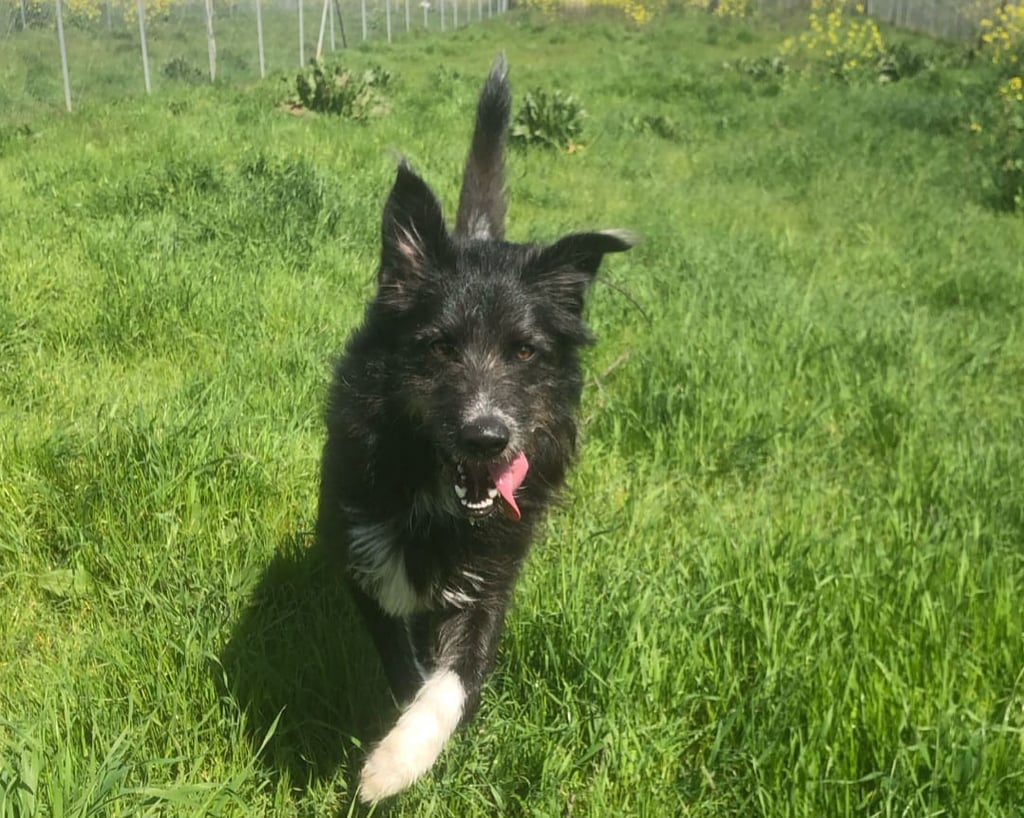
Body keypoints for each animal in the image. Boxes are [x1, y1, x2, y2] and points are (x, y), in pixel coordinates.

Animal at [316, 55, 633, 803]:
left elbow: (453, 680)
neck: (437, 500)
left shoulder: (491, 579)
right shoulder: (366, 556)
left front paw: (398, 760)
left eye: (524, 352)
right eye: (439, 347)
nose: (488, 438)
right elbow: (403, 659)